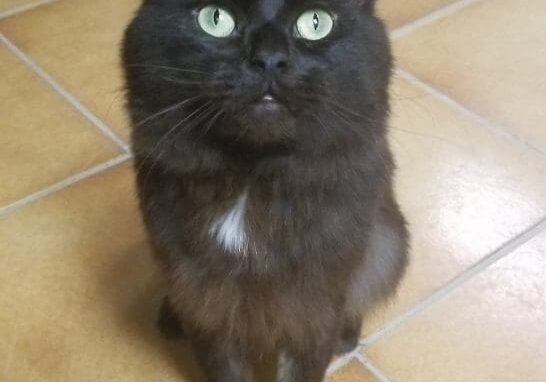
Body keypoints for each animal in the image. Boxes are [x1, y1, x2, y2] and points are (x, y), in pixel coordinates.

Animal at [121, 1, 406, 380]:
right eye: (215, 19)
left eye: (316, 23)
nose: (270, 59)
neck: (251, 184)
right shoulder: (206, 302)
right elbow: (223, 367)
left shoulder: (314, 309)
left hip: (389, 247)